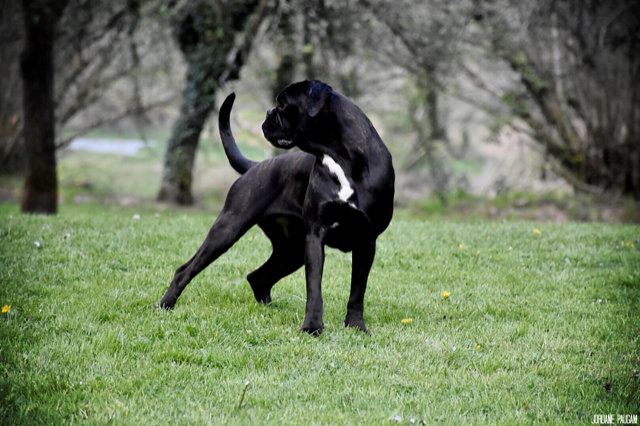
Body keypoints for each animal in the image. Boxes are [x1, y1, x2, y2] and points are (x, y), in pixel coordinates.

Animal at [159, 80, 394, 334]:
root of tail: (254, 166)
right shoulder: (315, 236)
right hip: (228, 230)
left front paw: (356, 326)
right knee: (186, 269)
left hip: (291, 251)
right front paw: (312, 327)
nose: (268, 113)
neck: (341, 157)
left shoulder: (366, 241)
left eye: (283, 104)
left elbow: (357, 290)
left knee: (258, 277)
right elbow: (314, 287)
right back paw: (165, 304)